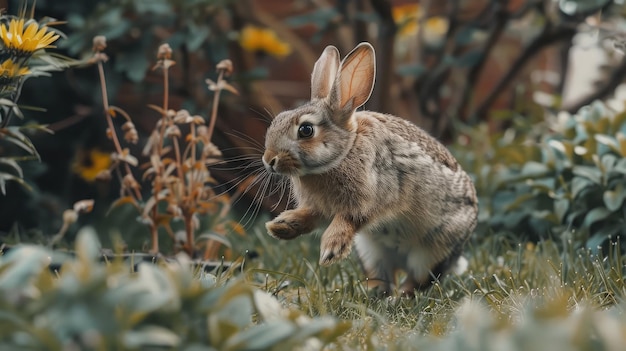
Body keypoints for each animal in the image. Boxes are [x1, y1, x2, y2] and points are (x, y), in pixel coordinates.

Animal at [260, 42, 476, 296]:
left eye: (305, 130)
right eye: (278, 119)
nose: (269, 160)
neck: (344, 151)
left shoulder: (371, 199)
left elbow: (349, 220)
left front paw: (331, 249)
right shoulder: (320, 208)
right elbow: (311, 217)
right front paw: (281, 226)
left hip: (431, 252)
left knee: (418, 280)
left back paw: (399, 297)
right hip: (371, 252)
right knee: (383, 277)